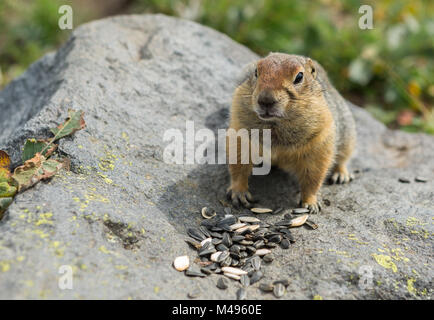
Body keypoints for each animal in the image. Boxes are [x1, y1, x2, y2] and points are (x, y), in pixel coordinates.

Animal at [227, 52, 356, 212]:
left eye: (299, 77)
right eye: (256, 71)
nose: (266, 100)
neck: (275, 125)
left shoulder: (320, 144)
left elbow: (314, 178)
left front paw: (311, 204)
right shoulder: (240, 135)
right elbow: (238, 166)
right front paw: (239, 193)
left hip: (347, 134)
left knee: (343, 158)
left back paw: (341, 175)